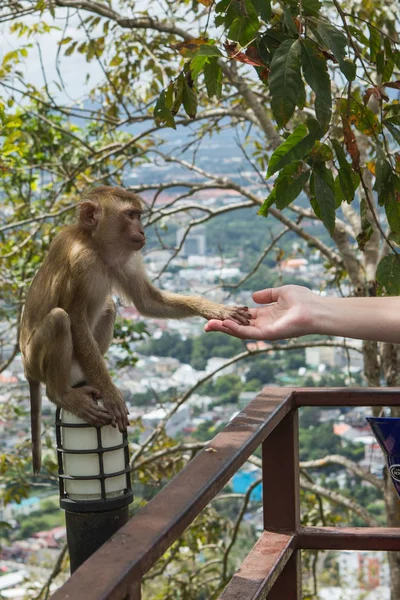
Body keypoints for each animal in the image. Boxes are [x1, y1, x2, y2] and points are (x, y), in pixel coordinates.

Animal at [19, 184, 250, 474]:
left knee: (108, 307)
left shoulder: (124, 259)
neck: (94, 245)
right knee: (60, 319)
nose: (142, 231)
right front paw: (111, 394)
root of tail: (27, 369)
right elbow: (76, 320)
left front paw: (217, 310)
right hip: (36, 358)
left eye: (138, 215)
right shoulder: (81, 262)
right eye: (130, 215)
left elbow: (148, 301)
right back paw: (61, 393)